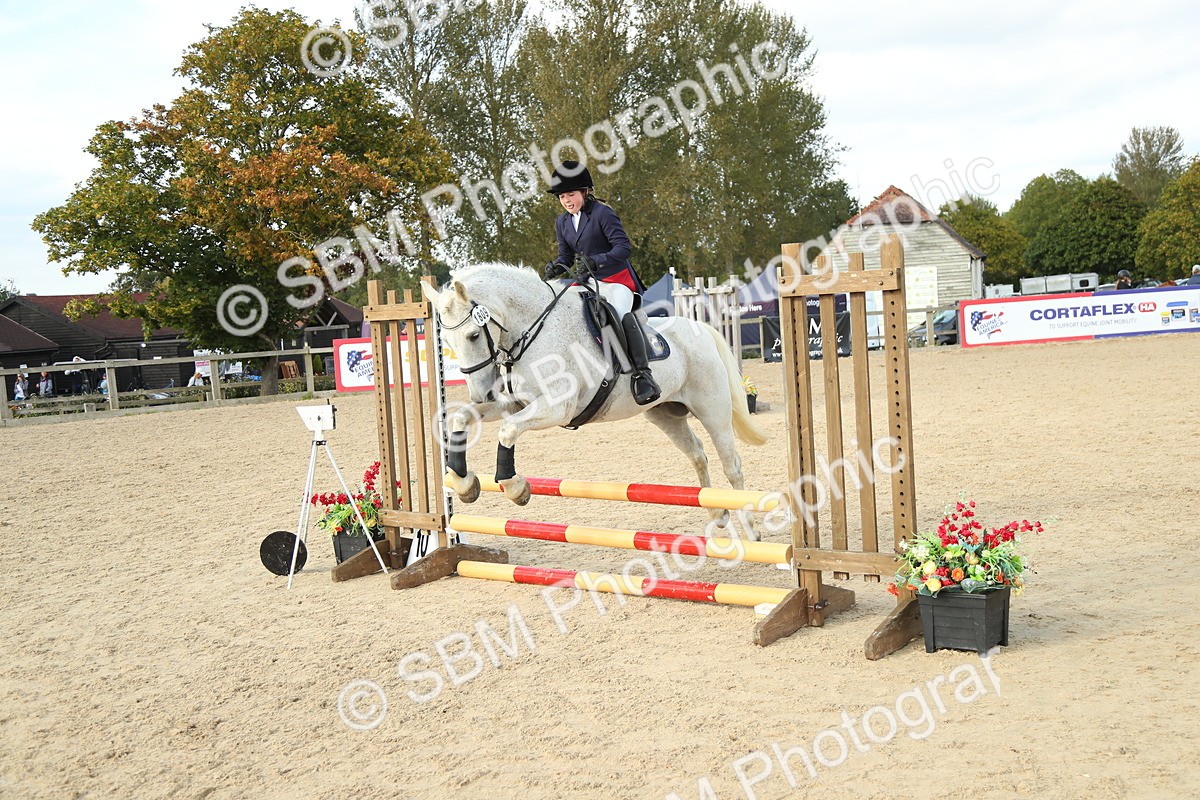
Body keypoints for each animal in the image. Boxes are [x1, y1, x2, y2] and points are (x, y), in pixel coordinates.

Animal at [422, 263, 768, 536]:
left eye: (473, 336)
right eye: (445, 341)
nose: (482, 393)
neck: (535, 329)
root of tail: (701, 328)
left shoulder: (557, 408)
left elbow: (507, 431)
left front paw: (514, 487)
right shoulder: (517, 403)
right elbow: (461, 417)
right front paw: (463, 482)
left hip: (712, 409)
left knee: (732, 466)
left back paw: (750, 531)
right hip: (664, 414)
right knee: (698, 454)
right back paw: (717, 513)